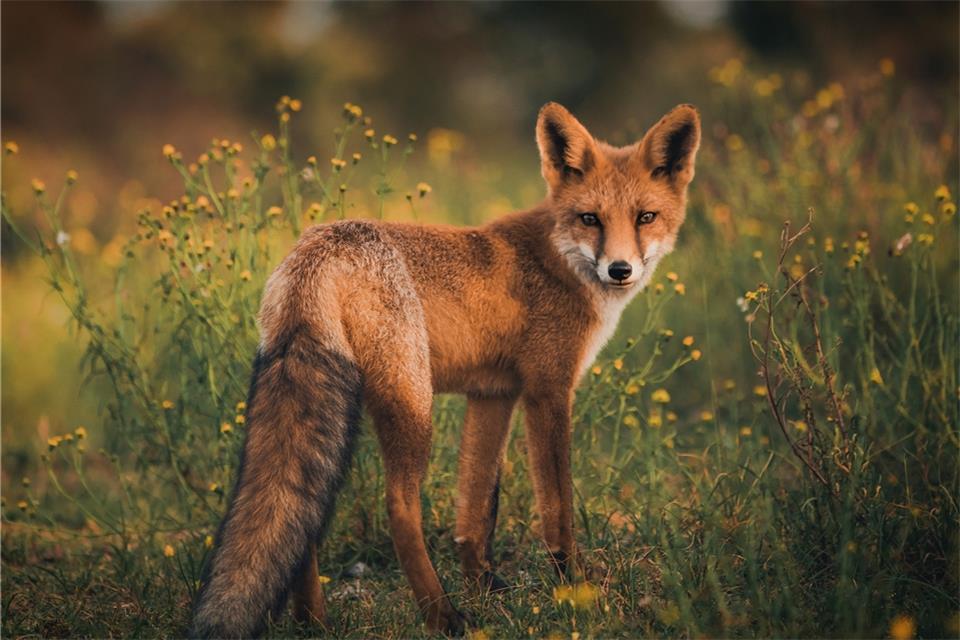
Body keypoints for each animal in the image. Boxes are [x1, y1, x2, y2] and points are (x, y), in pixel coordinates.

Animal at [190, 101, 700, 637]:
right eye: (590, 219)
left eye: (646, 217)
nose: (620, 270)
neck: (555, 261)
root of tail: (317, 249)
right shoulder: (548, 390)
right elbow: (557, 508)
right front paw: (575, 585)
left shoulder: (494, 394)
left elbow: (476, 510)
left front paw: (487, 587)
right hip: (414, 403)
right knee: (398, 508)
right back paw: (442, 615)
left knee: (302, 518)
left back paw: (316, 623)